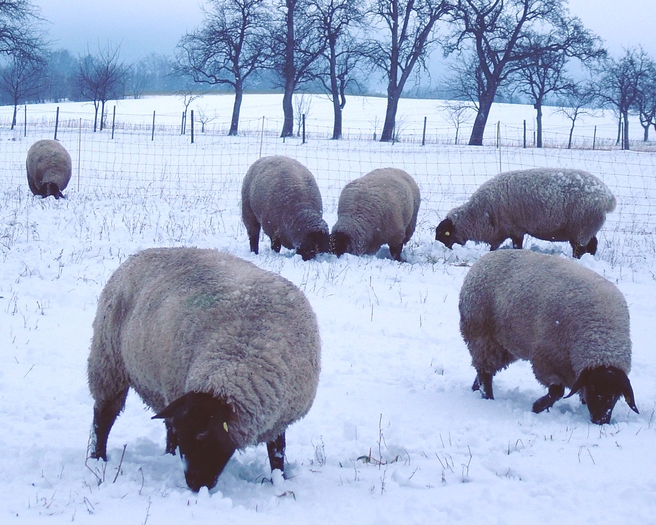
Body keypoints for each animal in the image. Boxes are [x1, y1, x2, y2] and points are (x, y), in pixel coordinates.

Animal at [87, 248, 322, 490]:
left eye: (202, 435)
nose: (194, 484)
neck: (238, 355)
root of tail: (136, 256)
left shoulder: (279, 418)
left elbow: (277, 452)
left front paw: (279, 480)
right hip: (108, 362)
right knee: (103, 417)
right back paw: (98, 458)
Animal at [436, 168, 616, 258]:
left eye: (444, 234)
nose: (442, 250)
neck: (479, 214)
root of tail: (608, 198)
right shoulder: (502, 231)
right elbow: (495, 246)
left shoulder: (514, 229)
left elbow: (516, 246)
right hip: (586, 228)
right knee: (592, 245)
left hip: (582, 228)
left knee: (581, 249)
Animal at [458, 248, 640, 424]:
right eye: (595, 388)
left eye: (617, 395)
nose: (601, 421)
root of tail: (483, 259)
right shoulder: (548, 359)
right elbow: (557, 391)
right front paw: (537, 407)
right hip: (483, 336)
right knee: (485, 372)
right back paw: (488, 398)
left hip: (504, 345)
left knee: (484, 369)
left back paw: (476, 390)